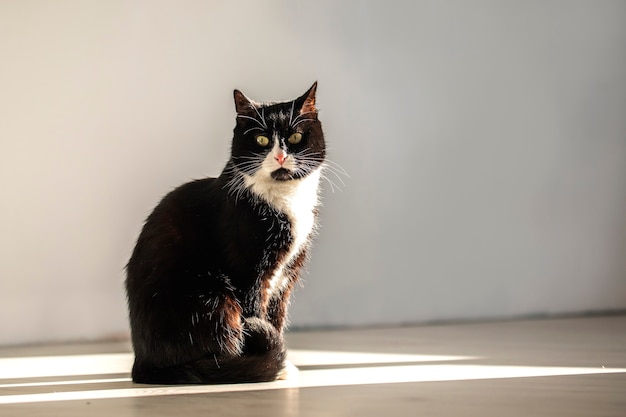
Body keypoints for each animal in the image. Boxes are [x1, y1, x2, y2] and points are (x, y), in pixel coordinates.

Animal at [125, 82, 324, 384]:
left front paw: (282, 365)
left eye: (296, 136)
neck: (285, 200)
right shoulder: (248, 271)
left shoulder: (286, 276)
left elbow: (277, 317)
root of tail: (143, 365)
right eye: (262, 140)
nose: (280, 156)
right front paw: (274, 366)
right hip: (210, 295)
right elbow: (256, 312)